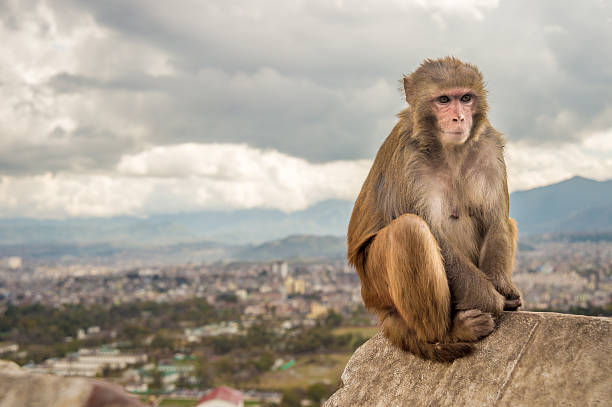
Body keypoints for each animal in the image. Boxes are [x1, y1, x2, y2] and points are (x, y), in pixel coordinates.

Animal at [350, 56, 520, 364]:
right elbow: (433, 233)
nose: (459, 117)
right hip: (374, 283)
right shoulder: (410, 158)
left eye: (465, 98)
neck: (450, 150)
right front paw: (492, 300)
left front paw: (503, 289)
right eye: (443, 100)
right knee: (409, 230)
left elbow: (495, 219)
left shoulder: (488, 146)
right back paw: (448, 334)